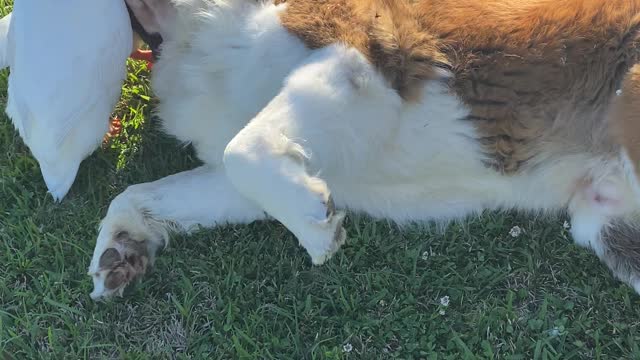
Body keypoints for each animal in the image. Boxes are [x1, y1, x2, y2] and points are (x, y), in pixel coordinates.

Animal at [89, 0, 640, 300]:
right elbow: (143, 192)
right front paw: (124, 244)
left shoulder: (355, 54)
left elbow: (244, 151)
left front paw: (316, 231)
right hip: (607, 227)